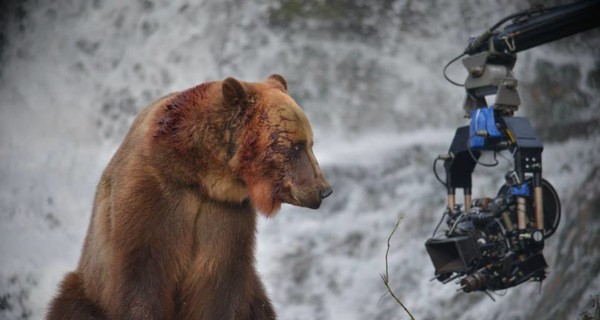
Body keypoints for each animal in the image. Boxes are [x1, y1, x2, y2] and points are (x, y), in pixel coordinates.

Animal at [47, 75, 332, 320]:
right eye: (296, 146)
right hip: (86, 288)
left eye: (310, 143)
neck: (200, 177)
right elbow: (142, 277)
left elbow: (217, 284)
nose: (324, 190)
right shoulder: (152, 199)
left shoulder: (225, 217)